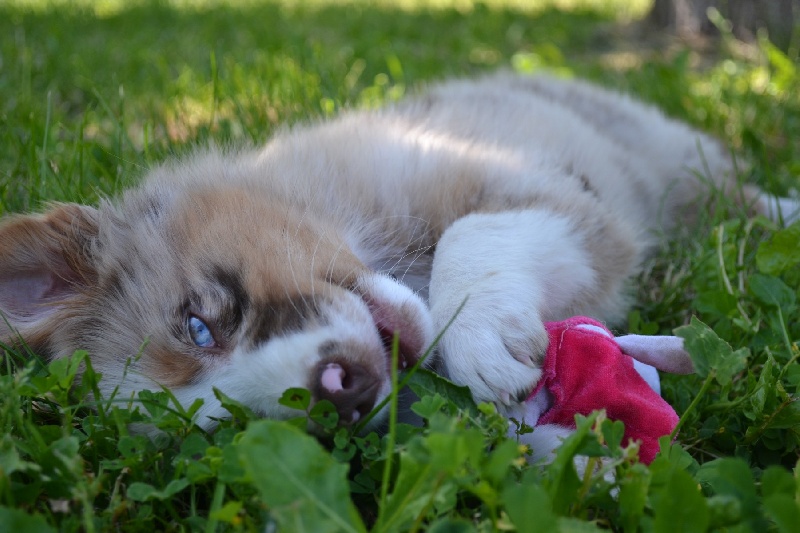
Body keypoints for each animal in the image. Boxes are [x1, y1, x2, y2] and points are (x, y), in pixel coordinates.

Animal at [3, 72, 796, 432]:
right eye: (231, 420)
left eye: (199, 325)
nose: (341, 391)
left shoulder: (541, 185)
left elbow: (469, 235)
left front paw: (480, 338)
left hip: (676, 159)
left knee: (739, 195)